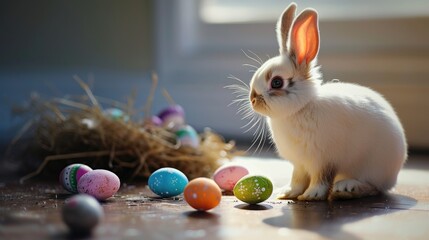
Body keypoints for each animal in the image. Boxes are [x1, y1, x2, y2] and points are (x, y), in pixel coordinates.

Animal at [247, 3, 404, 201]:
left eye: (276, 82)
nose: (252, 100)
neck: (301, 108)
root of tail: (394, 175)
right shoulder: (300, 164)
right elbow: (297, 179)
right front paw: (287, 193)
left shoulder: (323, 161)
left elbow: (320, 179)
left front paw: (311, 195)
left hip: (374, 167)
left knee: (374, 187)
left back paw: (347, 188)